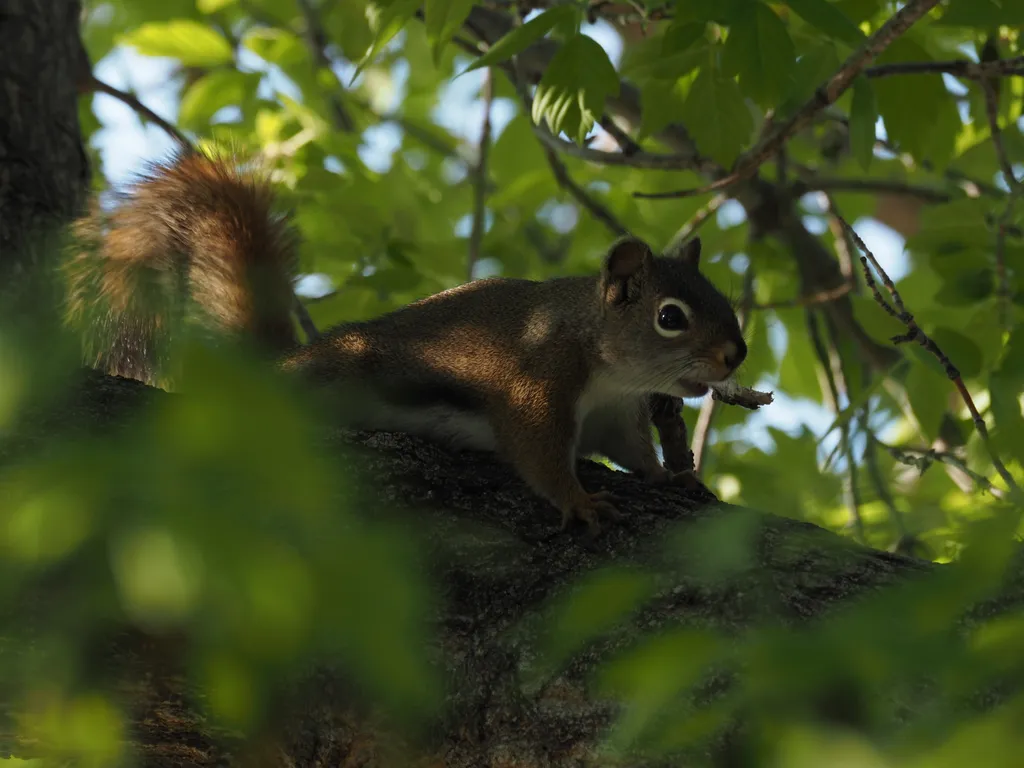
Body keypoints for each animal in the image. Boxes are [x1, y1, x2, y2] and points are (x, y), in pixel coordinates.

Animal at [65, 150, 760, 535]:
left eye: (720, 296)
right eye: (670, 317)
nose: (735, 355)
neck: (610, 365)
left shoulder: (616, 414)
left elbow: (632, 452)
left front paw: (670, 478)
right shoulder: (539, 380)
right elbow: (536, 452)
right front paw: (581, 501)